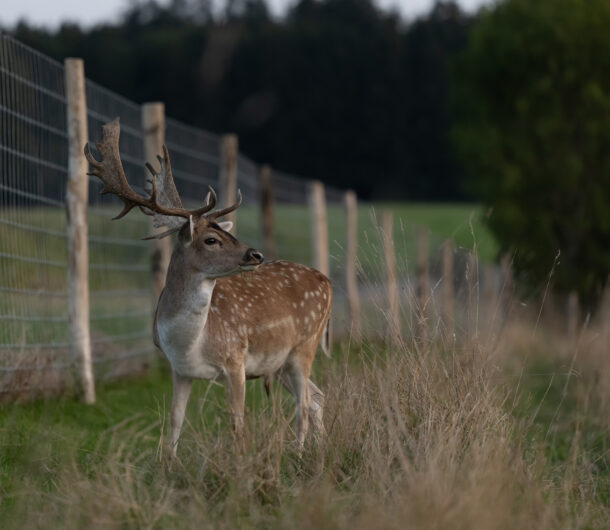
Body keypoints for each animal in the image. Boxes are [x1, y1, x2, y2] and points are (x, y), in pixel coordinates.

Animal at [83, 119, 330, 454]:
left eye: (227, 234)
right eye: (211, 240)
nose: (255, 255)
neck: (190, 343)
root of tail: (326, 281)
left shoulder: (235, 358)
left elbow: (237, 424)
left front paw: (240, 461)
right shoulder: (179, 370)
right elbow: (174, 423)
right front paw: (169, 462)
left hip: (306, 344)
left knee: (305, 404)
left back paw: (300, 452)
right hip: (280, 362)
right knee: (316, 398)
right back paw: (316, 449)